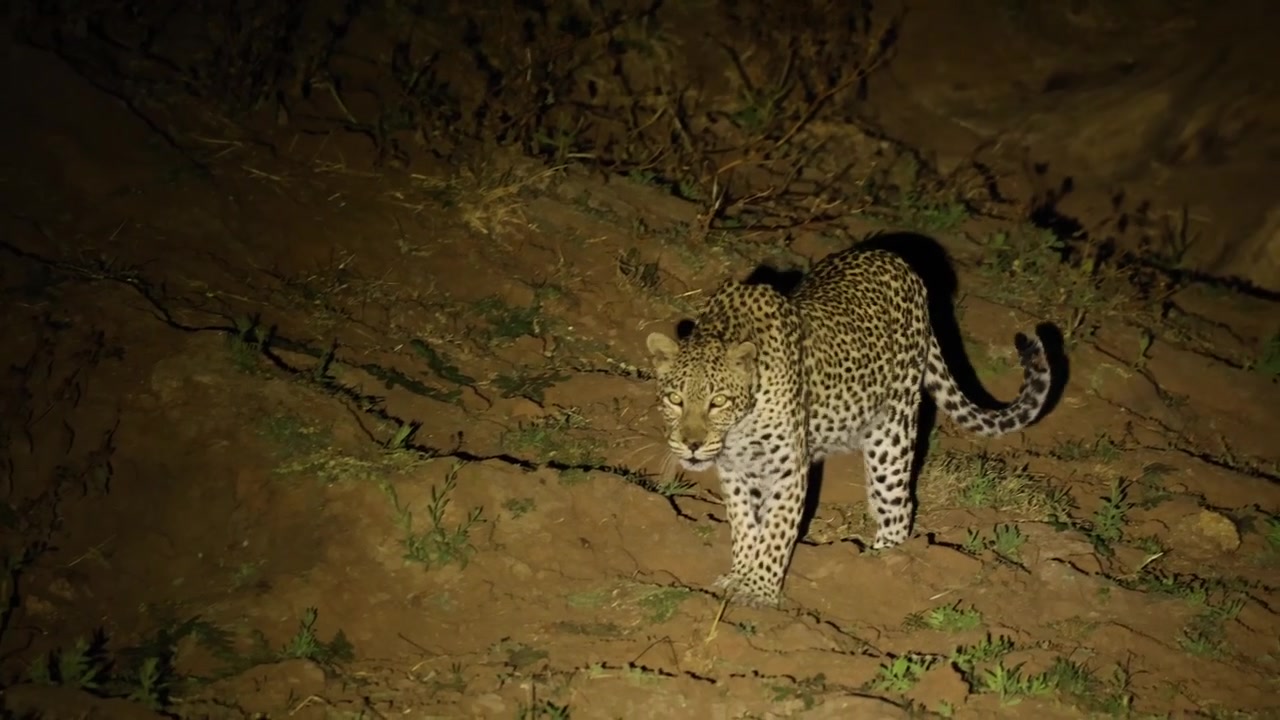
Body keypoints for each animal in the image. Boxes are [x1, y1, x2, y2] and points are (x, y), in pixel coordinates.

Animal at [645, 245, 1052, 607]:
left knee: (898, 507)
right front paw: (739, 576)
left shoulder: (788, 470)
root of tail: (897, 260)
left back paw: (882, 564)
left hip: (892, 435)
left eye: (718, 402)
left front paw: (759, 591)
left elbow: (776, 531)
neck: (741, 424)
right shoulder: (735, 471)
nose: (692, 445)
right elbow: (745, 525)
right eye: (675, 399)